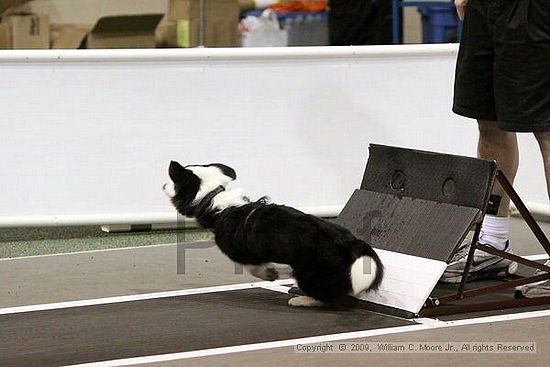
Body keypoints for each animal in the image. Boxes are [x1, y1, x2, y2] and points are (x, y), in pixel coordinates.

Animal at [164, 162, 384, 308]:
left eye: (173, 182)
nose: (162, 184)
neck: (213, 199)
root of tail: (352, 243)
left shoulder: (242, 253)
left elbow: (253, 267)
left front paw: (269, 274)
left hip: (310, 273)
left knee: (331, 297)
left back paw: (302, 299)